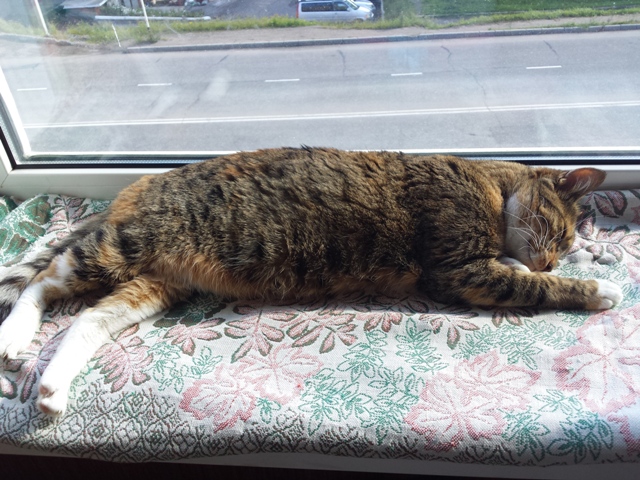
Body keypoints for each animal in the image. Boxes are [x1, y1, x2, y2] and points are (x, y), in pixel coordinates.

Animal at [0, 147, 622, 416]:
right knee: (41, 280)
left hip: (154, 284)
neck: (491, 187)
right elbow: (525, 286)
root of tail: (138, 187)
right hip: (122, 247)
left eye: (566, 246)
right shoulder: (456, 267)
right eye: (559, 232)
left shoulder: (473, 264)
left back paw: (52, 390)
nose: (551, 261)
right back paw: (13, 338)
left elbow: (512, 273)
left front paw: (530, 269)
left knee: (88, 317)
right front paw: (596, 290)